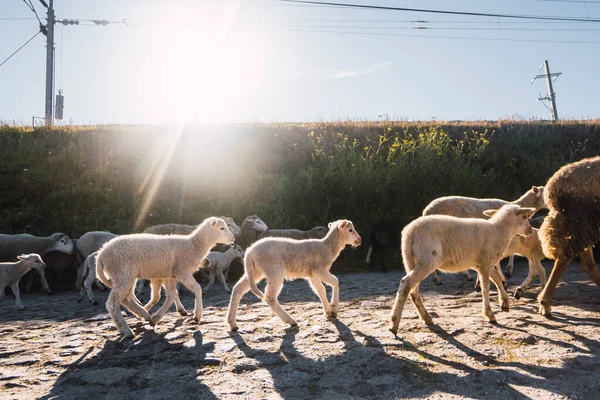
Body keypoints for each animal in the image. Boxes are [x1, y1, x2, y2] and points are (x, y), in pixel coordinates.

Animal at [96, 217, 234, 340]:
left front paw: (157, 318)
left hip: (127, 276)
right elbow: (197, 289)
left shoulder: (169, 276)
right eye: (222, 228)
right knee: (113, 304)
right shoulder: (182, 271)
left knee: (126, 299)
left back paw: (144, 314)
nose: (233, 238)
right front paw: (197, 315)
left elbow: (171, 295)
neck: (193, 245)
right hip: (122, 273)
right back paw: (127, 330)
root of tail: (101, 255)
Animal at [227, 219, 360, 332]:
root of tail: (249, 252)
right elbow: (335, 281)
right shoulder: (320, 270)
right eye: (350, 230)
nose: (360, 240)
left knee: (238, 289)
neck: (327, 246)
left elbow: (320, 290)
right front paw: (334, 309)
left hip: (255, 271)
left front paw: (328, 311)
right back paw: (290, 321)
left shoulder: (312, 274)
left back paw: (232, 324)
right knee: (270, 296)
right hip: (274, 270)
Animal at [390, 205, 536, 336]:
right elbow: (486, 286)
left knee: (413, 289)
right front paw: (489, 314)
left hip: (413, 260)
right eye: (525, 217)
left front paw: (505, 302)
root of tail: (409, 232)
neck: (499, 230)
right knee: (406, 283)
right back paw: (394, 324)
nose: (530, 230)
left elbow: (497, 279)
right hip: (427, 258)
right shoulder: (485, 262)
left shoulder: (483, 264)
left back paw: (426, 318)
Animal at [536, 155, 600, 316]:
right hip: (584, 219)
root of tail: (552, 186)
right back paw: (545, 303)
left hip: (583, 224)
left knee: (587, 263)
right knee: (565, 257)